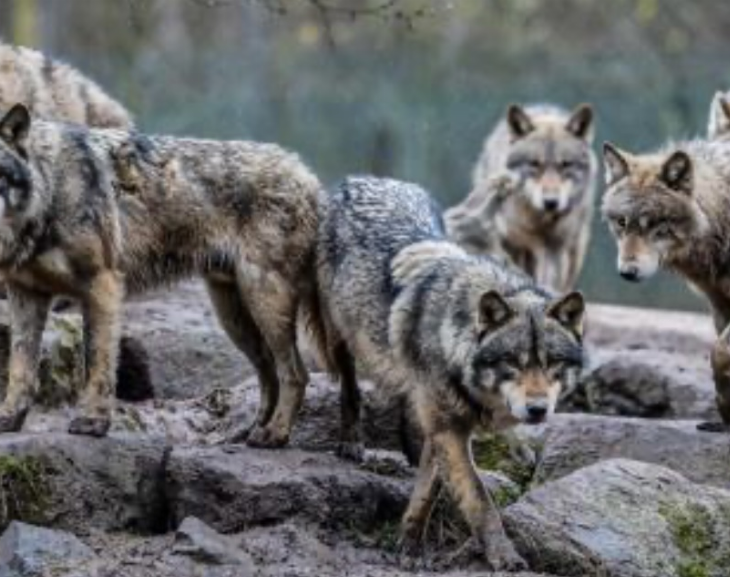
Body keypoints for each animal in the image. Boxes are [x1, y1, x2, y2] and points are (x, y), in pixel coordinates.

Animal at [0, 103, 322, 444]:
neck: (50, 188)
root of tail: (308, 175)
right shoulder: (24, 295)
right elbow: (20, 368)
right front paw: (9, 418)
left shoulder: (102, 285)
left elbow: (98, 362)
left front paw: (92, 421)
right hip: (234, 318)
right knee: (269, 374)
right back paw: (250, 431)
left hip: (264, 303)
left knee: (295, 373)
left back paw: (275, 434)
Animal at [317, 176, 586, 569]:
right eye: (514, 362)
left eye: (552, 363)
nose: (537, 410)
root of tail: (363, 179)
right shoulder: (450, 430)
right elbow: (479, 500)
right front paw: (504, 557)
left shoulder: (443, 429)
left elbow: (428, 489)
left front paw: (408, 544)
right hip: (340, 336)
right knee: (349, 387)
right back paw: (351, 441)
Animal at [444, 103, 597, 292]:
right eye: (534, 164)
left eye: (566, 164)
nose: (551, 202)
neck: (539, 221)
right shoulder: (512, 243)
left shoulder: (555, 249)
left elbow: (549, 280)